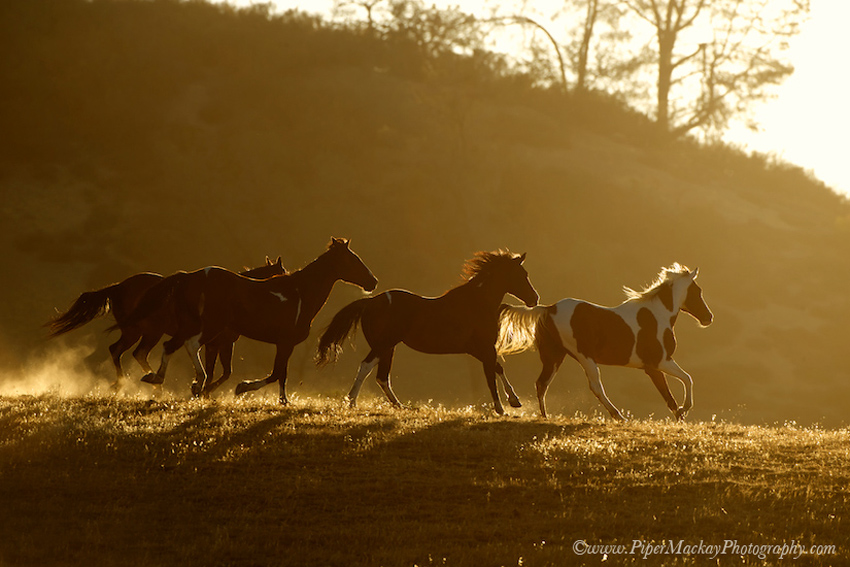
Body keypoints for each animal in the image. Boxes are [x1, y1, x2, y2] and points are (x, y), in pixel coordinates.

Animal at [46, 258, 284, 390]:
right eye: (282, 273)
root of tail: (118, 286)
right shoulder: (217, 342)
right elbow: (220, 372)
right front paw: (204, 390)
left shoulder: (218, 343)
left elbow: (221, 372)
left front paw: (204, 390)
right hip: (141, 332)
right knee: (121, 351)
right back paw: (127, 383)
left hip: (146, 332)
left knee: (134, 353)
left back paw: (149, 383)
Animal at [128, 237, 374, 402]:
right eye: (353, 260)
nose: (373, 281)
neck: (301, 294)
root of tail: (190, 276)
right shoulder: (284, 343)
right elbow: (276, 374)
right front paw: (243, 388)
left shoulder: (282, 344)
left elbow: (281, 375)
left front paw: (283, 401)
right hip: (209, 326)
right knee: (189, 345)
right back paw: (195, 381)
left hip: (191, 326)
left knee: (169, 346)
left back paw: (156, 378)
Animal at [314, 251, 540, 414]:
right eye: (522, 275)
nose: (534, 298)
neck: (477, 302)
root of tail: (370, 302)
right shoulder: (484, 347)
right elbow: (491, 374)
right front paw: (501, 409)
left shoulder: (477, 349)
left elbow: (498, 368)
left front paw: (515, 401)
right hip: (383, 344)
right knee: (366, 367)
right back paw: (352, 402)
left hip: (388, 347)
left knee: (382, 377)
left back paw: (400, 406)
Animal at [496, 264, 708, 420]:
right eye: (698, 291)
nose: (709, 317)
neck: (657, 315)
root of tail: (548, 309)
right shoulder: (658, 363)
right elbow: (683, 383)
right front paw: (683, 411)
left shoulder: (655, 366)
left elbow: (677, 388)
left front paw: (681, 415)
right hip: (584, 357)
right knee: (595, 386)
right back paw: (618, 416)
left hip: (554, 356)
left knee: (542, 384)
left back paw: (544, 416)